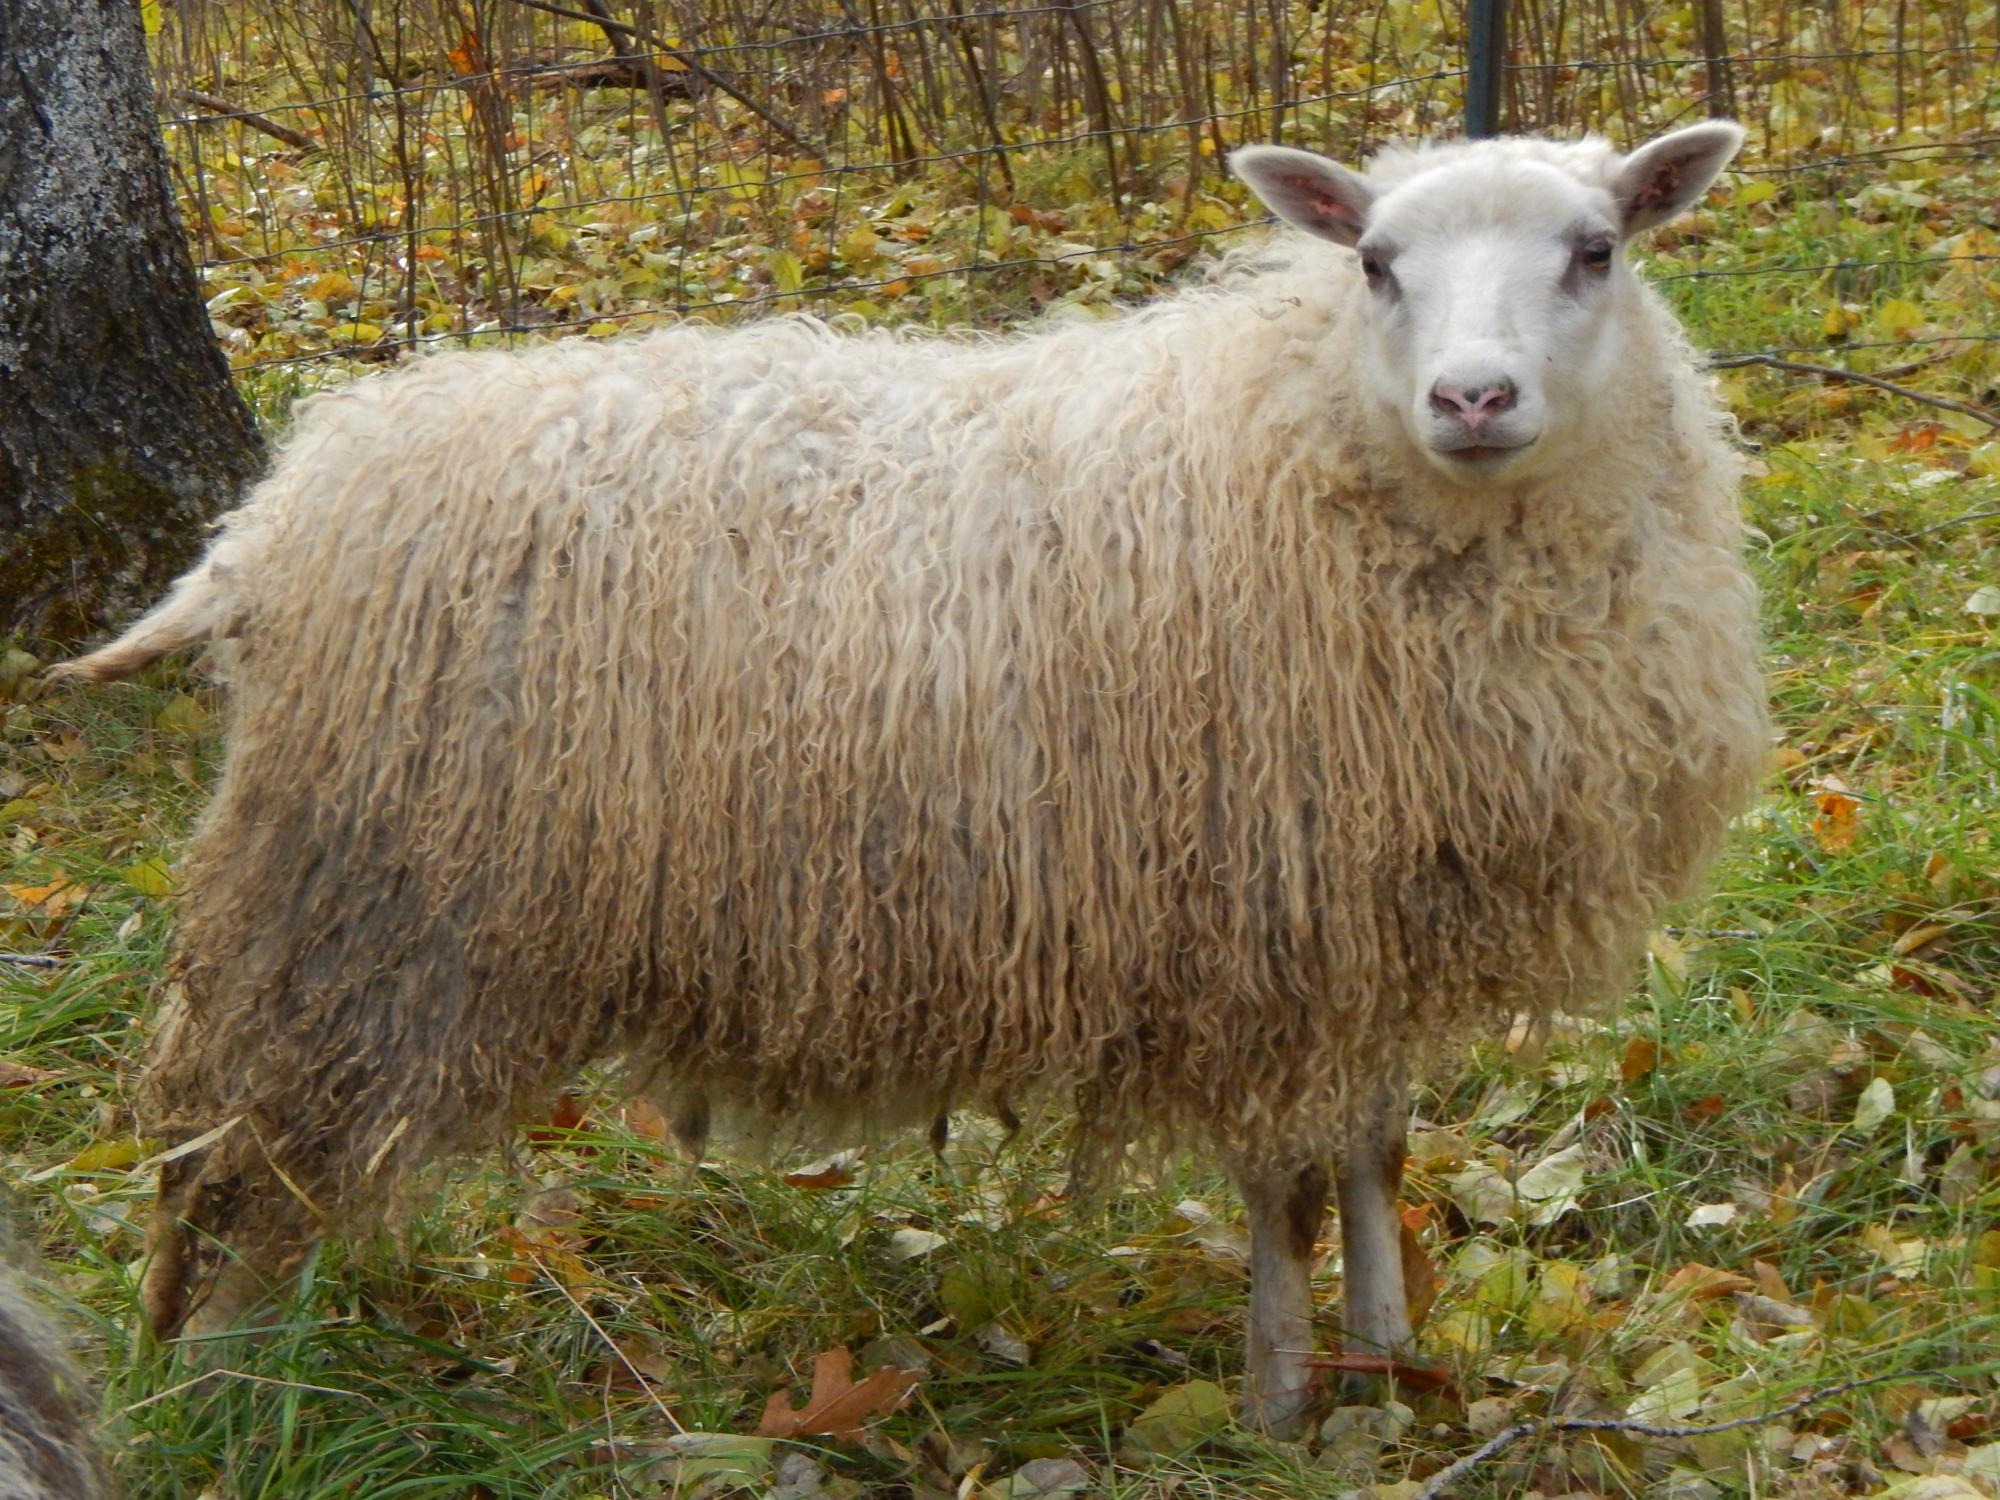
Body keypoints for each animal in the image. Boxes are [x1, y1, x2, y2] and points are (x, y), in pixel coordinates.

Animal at [59, 123, 1766, 1434]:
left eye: (1596, 249)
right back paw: (229, 1396)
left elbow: (1376, 1149)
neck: (1314, 446)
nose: (1472, 399)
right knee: (235, 1157)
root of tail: (274, 516)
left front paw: (1393, 1362)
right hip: (365, 899)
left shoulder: (1368, 923)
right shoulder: (1264, 932)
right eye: (1376, 264)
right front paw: (1285, 1401)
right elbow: (1284, 1185)